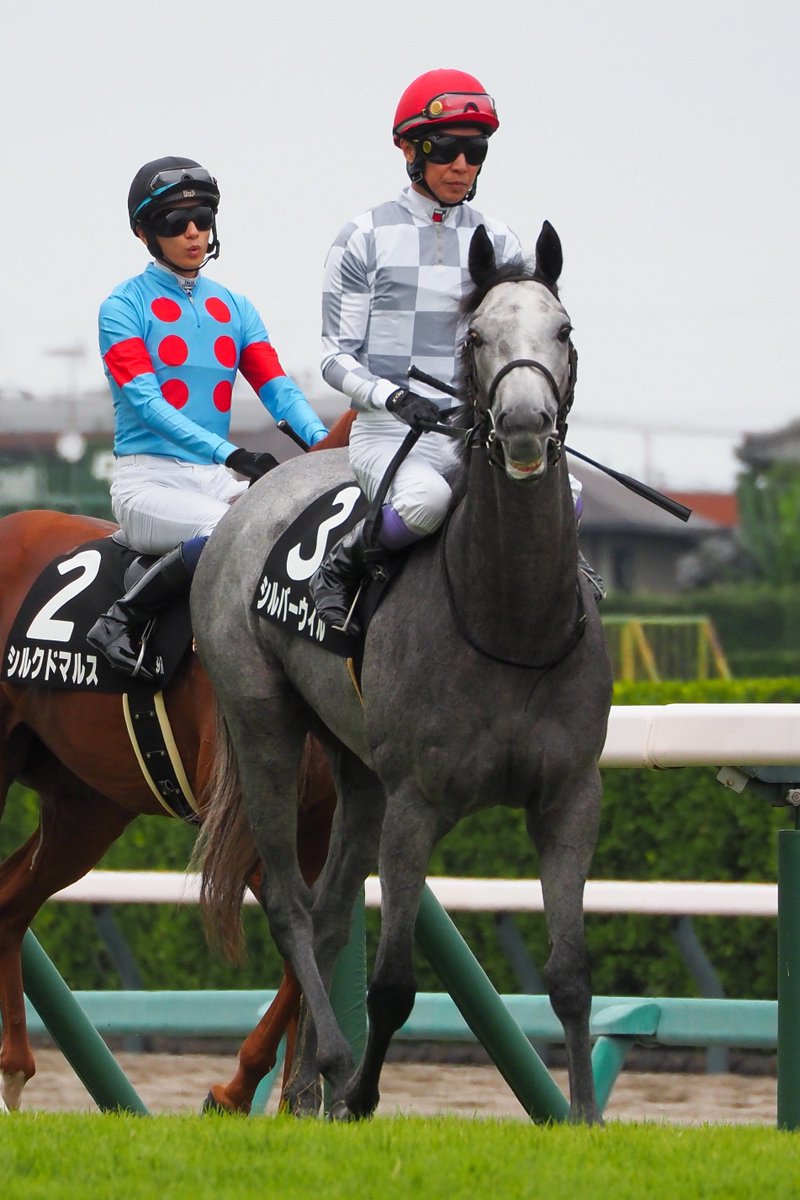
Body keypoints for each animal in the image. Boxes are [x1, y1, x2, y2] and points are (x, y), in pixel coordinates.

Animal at [0, 415, 355, 1115]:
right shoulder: (242, 822)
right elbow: (296, 927)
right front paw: (240, 1088)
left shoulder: (320, 821)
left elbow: (318, 933)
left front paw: (297, 1099)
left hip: (86, 810)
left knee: (8, 902)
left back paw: (14, 1070)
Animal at [192, 220, 614, 1123]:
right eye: (476, 335)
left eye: (562, 330)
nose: (524, 423)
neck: (510, 623)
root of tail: (254, 499)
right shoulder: (417, 805)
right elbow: (391, 984)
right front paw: (359, 1098)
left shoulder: (570, 796)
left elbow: (570, 975)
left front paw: (588, 1119)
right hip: (265, 726)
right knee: (289, 903)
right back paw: (332, 1068)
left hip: (357, 771)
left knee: (325, 911)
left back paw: (306, 1087)